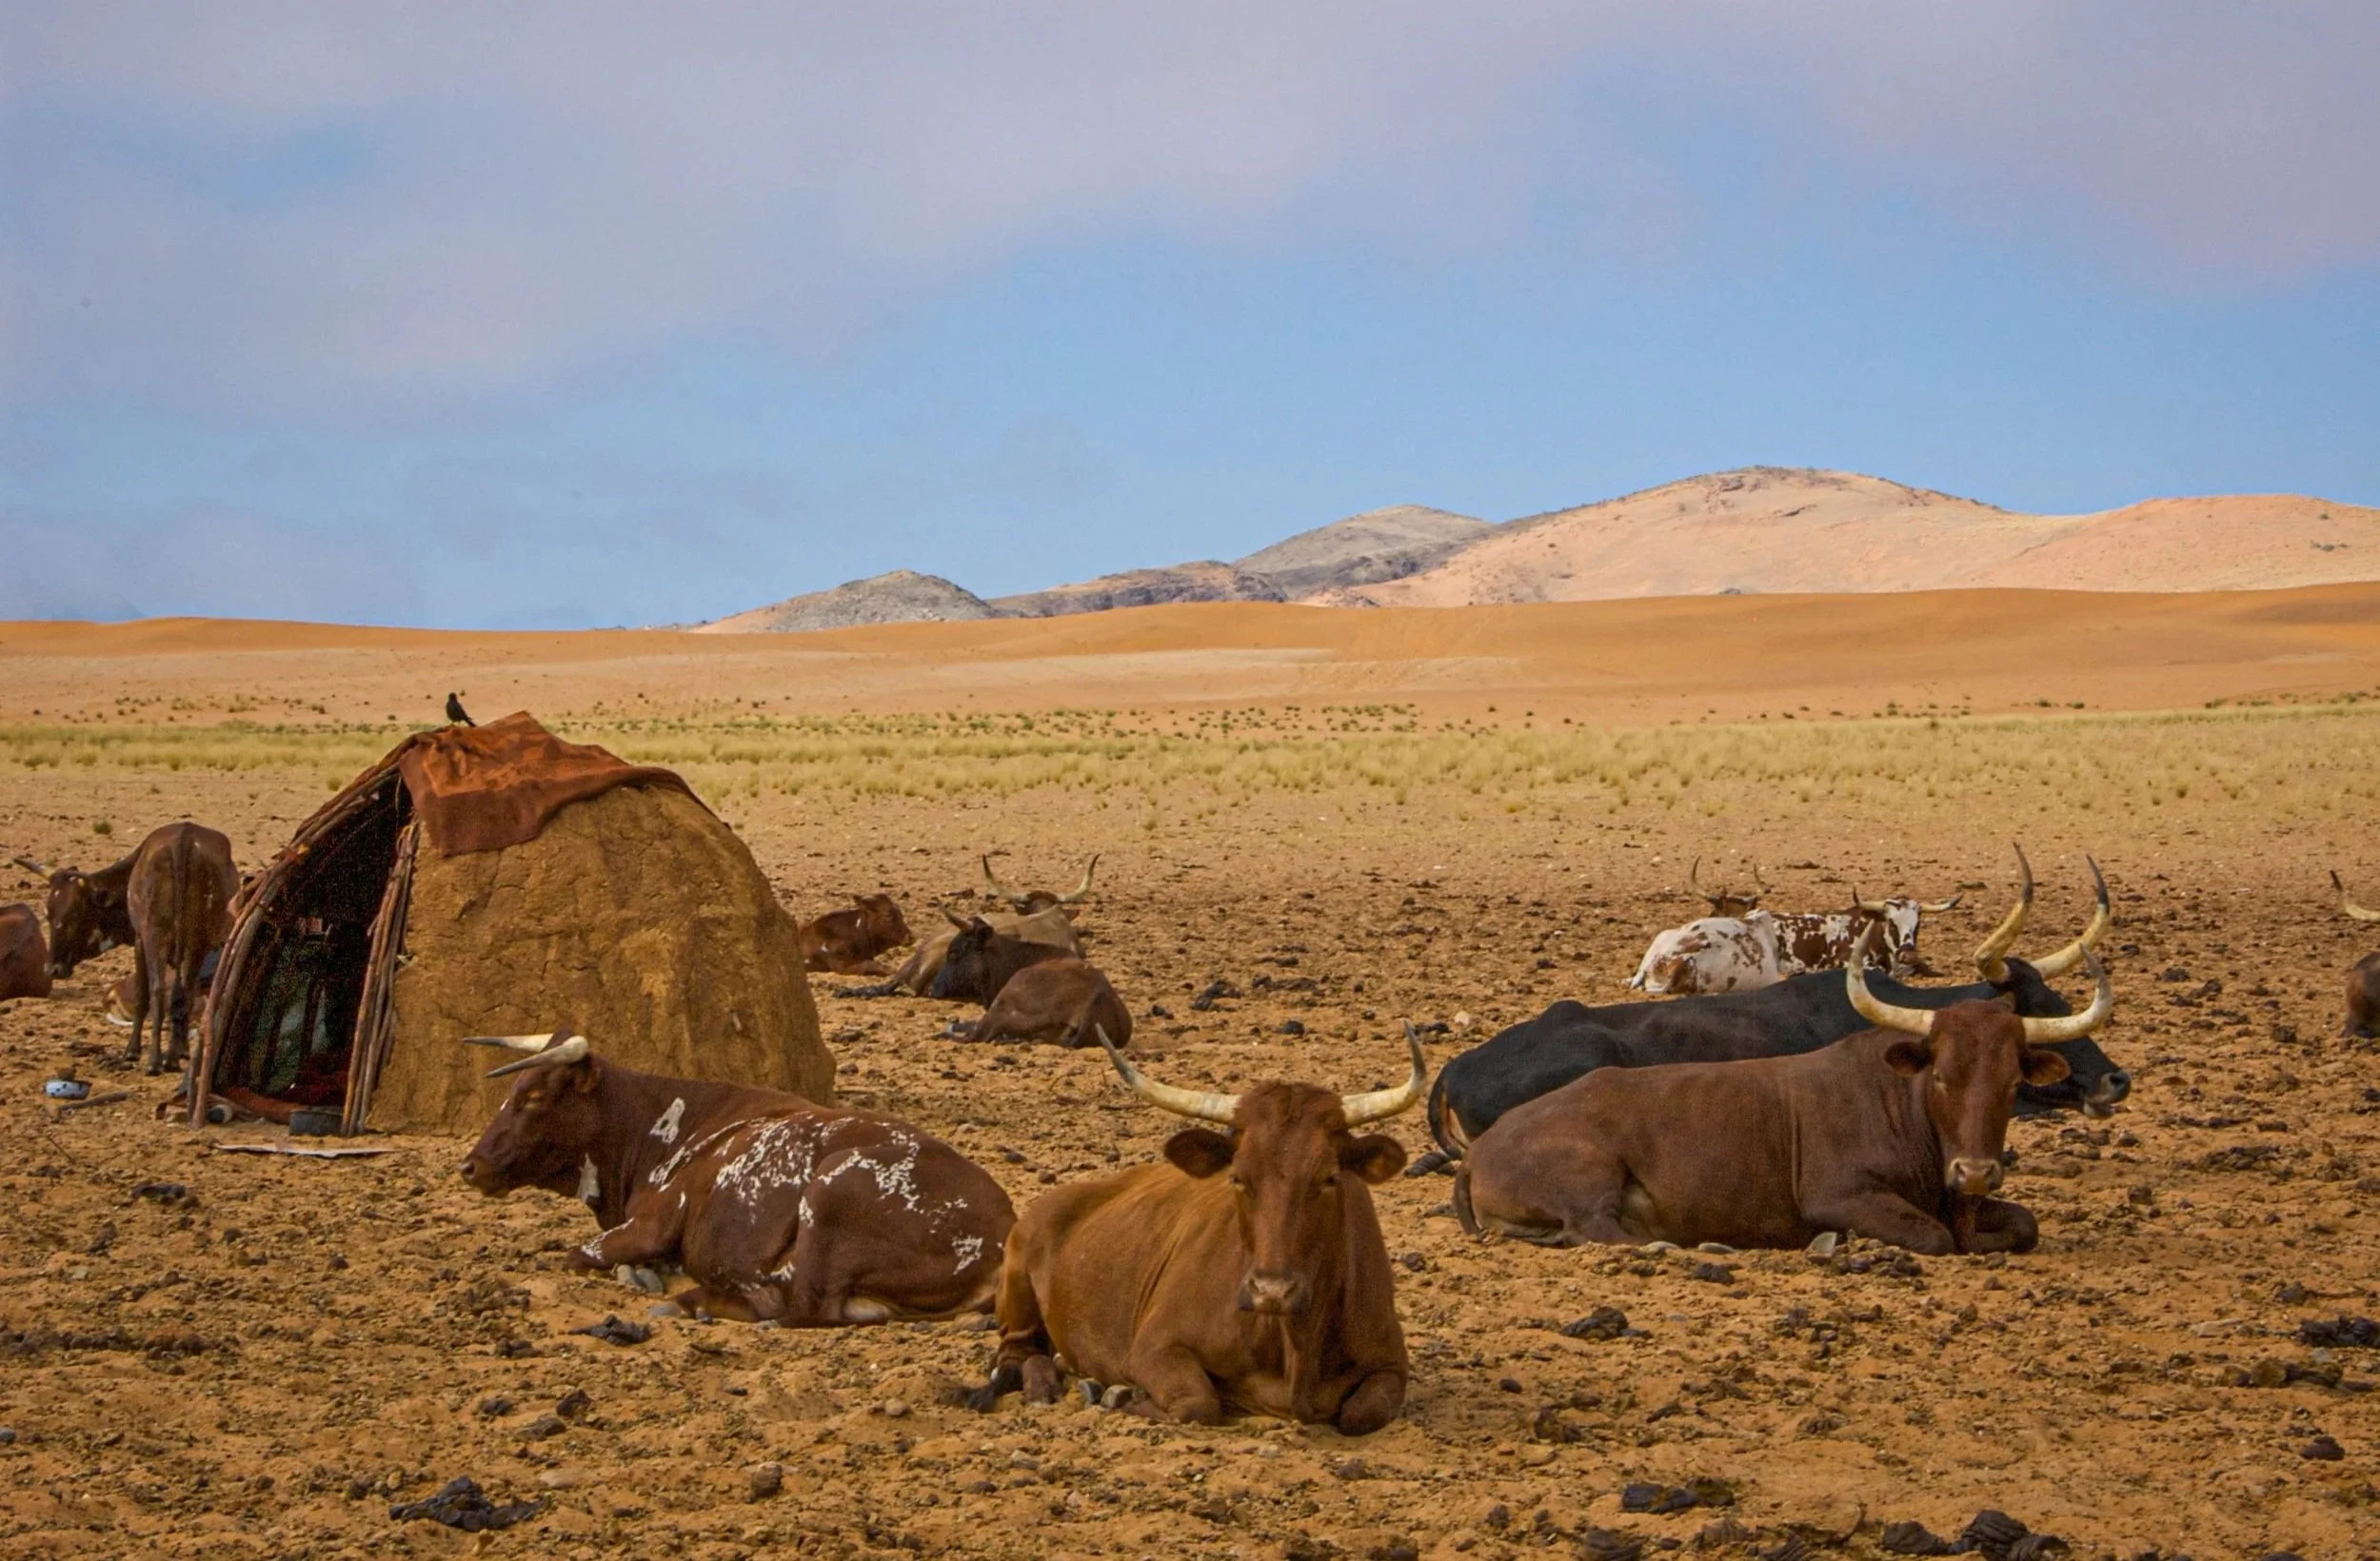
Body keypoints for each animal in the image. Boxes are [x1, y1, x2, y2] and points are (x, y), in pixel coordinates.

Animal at [120, 823, 239, 1075]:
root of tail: (182, 838)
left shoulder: (139, 939)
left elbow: (143, 994)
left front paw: (132, 1050)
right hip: (189, 939)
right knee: (179, 993)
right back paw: (166, 1058)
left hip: (160, 933)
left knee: (161, 990)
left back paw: (159, 1060)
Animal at [460, 1031, 1016, 1325]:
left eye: (534, 1096)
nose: (472, 1165)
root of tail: (1005, 1227)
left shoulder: (650, 1225)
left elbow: (578, 1255)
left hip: (833, 1186)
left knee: (793, 1303)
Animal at [970, 1028, 1423, 1433]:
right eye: (1237, 1177)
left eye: (1329, 1178)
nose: (1271, 1290)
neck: (1290, 1344)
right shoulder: (1154, 1348)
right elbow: (1198, 1404)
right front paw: (1124, 1396)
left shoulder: (1390, 1366)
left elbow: (1362, 1414)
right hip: (1017, 1290)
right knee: (1015, 1354)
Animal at [1453, 937, 2113, 1255]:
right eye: (1942, 1076)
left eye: (2012, 1081)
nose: (1974, 1172)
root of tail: (1479, 1153)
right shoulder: (1839, 1195)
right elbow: (1936, 1238)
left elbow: (2022, 1224)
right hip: (1590, 1176)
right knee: (1600, 1230)